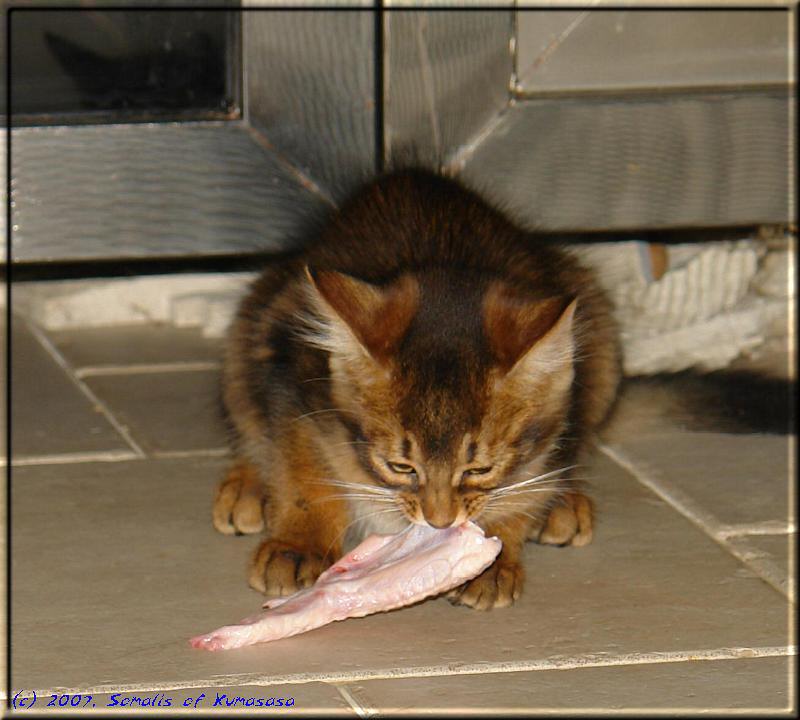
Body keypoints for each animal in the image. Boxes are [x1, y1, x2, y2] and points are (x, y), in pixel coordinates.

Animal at [211, 167, 620, 608]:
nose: (439, 522)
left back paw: (567, 504)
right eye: (400, 467)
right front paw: (298, 545)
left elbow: (527, 489)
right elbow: (303, 472)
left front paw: (491, 561)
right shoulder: (299, 390)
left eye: (480, 469)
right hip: (250, 338)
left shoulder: (558, 425)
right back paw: (246, 489)